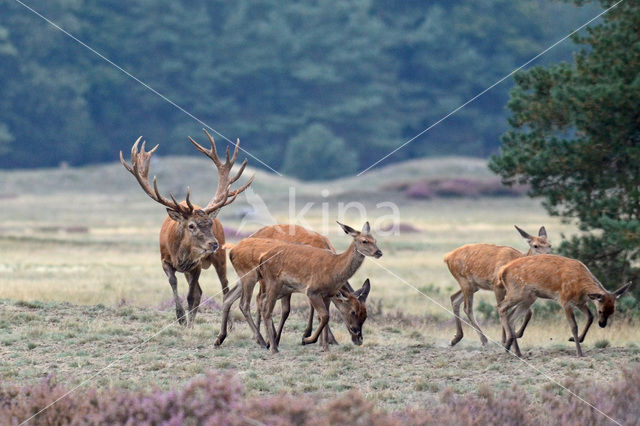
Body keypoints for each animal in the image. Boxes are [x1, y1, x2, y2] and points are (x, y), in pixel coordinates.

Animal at [120, 130, 252, 326]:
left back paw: (229, 324)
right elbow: (175, 284)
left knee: (224, 287)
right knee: (201, 291)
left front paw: (186, 321)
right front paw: (181, 317)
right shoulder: (165, 260)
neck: (179, 254)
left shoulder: (196, 264)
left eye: (210, 224)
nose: (213, 244)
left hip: (220, 259)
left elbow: (191, 296)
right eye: (191, 225)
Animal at [258, 223, 382, 352]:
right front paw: (307, 339)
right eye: (352, 312)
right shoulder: (311, 290)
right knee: (262, 303)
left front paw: (325, 344)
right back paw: (267, 342)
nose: (359, 338)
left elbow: (325, 315)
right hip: (268, 282)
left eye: (366, 314)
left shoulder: (326, 294)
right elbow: (322, 315)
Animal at [496, 255, 632, 358]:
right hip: (517, 291)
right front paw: (579, 352)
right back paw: (508, 343)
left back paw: (517, 352)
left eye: (612, 311)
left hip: (529, 297)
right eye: (600, 311)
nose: (602, 324)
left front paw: (574, 339)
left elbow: (590, 317)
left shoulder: (580, 302)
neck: (581, 287)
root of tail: (502, 270)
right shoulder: (565, 300)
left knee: (511, 318)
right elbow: (574, 326)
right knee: (501, 307)